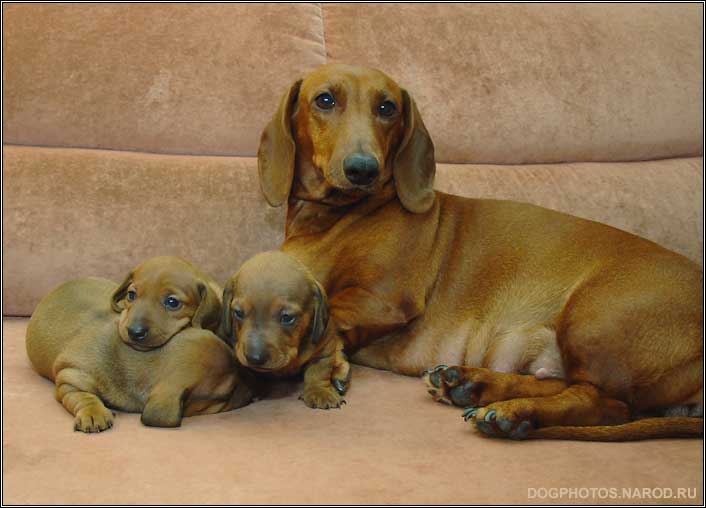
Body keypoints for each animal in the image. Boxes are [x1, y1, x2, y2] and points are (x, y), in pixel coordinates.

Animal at [26, 256, 253, 430]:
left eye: (172, 302)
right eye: (226, 394)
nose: (256, 390)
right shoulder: (69, 378)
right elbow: (84, 397)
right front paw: (93, 413)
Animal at [223, 252, 350, 410]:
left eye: (287, 317)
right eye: (238, 313)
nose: (254, 358)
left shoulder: (324, 346)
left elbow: (319, 371)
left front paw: (320, 391)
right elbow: (252, 374)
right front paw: (257, 389)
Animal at [256, 61, 700, 438]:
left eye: (387, 107)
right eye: (324, 100)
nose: (363, 169)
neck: (336, 218)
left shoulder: (386, 297)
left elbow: (329, 313)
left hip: (593, 318)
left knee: (605, 403)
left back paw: (512, 413)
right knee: (561, 384)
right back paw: (471, 384)